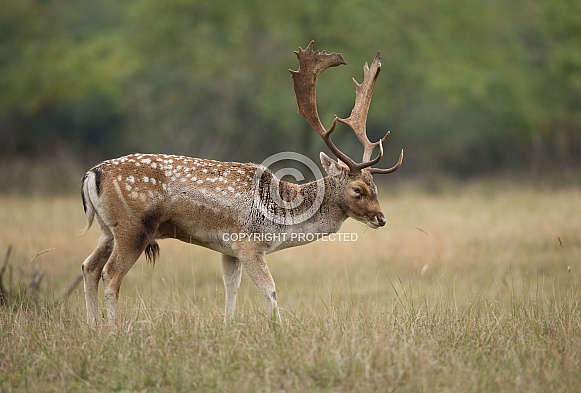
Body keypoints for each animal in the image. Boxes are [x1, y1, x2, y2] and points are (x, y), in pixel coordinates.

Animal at [79, 41, 402, 326]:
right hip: (133, 227)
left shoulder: (229, 249)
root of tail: (92, 174)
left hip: (108, 229)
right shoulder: (249, 244)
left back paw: (93, 326)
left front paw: (228, 327)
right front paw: (278, 329)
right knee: (110, 274)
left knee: (89, 267)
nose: (382, 218)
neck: (282, 215)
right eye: (357, 190)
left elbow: (230, 289)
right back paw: (113, 329)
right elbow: (270, 289)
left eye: (376, 188)